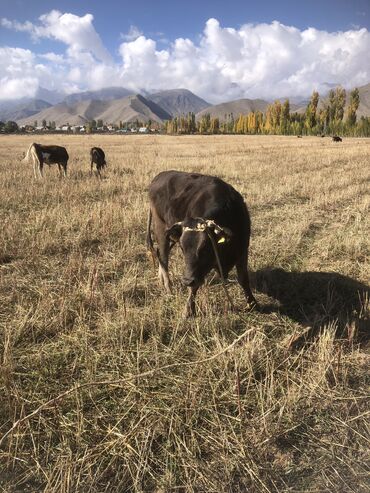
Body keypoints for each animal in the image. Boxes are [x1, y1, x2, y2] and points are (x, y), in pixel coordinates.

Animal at [147, 169, 258, 316]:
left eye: (206, 248)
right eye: (182, 248)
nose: (186, 280)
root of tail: (160, 176)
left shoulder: (243, 249)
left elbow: (243, 278)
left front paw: (252, 304)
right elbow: (194, 286)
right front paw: (189, 310)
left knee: (160, 254)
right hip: (160, 227)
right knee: (164, 258)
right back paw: (168, 288)